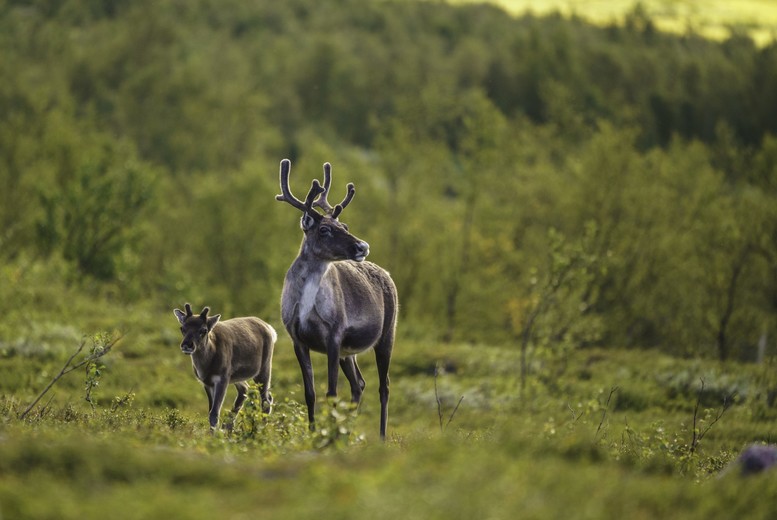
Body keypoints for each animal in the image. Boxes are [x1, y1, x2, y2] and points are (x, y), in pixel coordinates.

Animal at [276, 159, 398, 439]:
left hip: (387, 335)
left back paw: (381, 437)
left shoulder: (334, 335)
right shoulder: (298, 339)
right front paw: (313, 433)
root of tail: (387, 275)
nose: (362, 246)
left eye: (345, 226)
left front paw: (325, 436)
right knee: (359, 384)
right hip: (348, 352)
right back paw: (346, 433)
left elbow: (331, 393)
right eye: (324, 229)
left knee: (384, 386)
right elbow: (310, 393)